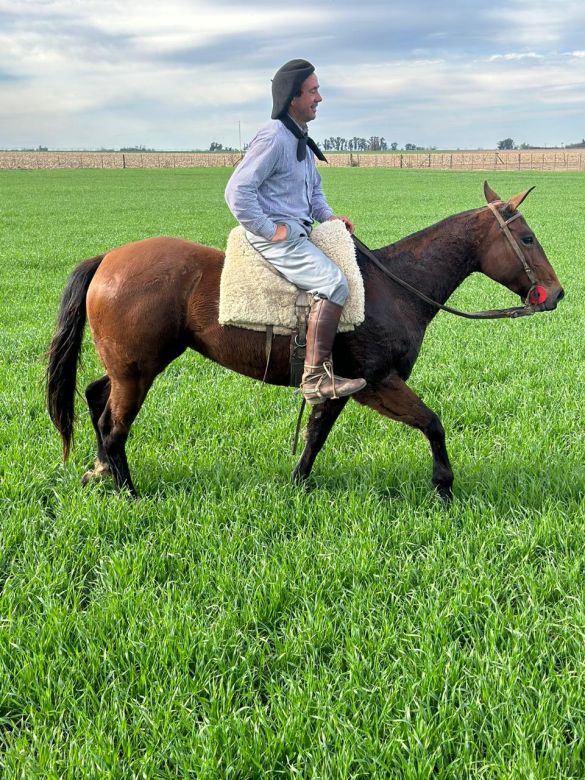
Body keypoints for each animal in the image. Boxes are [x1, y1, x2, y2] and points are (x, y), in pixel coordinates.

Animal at [48, 181, 564, 500]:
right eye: (527, 237)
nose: (555, 293)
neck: (394, 286)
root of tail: (108, 259)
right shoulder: (380, 382)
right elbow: (433, 424)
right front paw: (444, 486)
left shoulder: (340, 387)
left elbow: (316, 435)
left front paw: (297, 484)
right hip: (138, 372)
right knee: (114, 427)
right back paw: (129, 492)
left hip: (127, 367)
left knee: (95, 396)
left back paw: (100, 472)